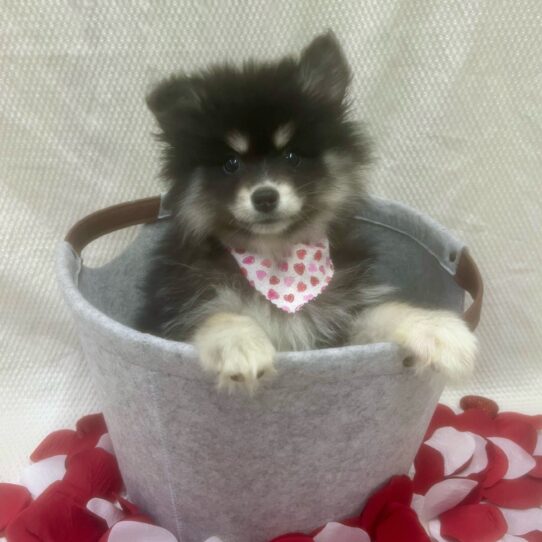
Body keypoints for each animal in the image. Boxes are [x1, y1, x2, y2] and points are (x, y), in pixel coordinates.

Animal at [138, 31, 478, 394]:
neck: (278, 258)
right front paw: (240, 345)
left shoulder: (339, 322)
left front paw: (438, 329)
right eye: (231, 164)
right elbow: (217, 315)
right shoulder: (174, 315)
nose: (265, 197)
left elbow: (384, 312)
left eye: (291, 156)